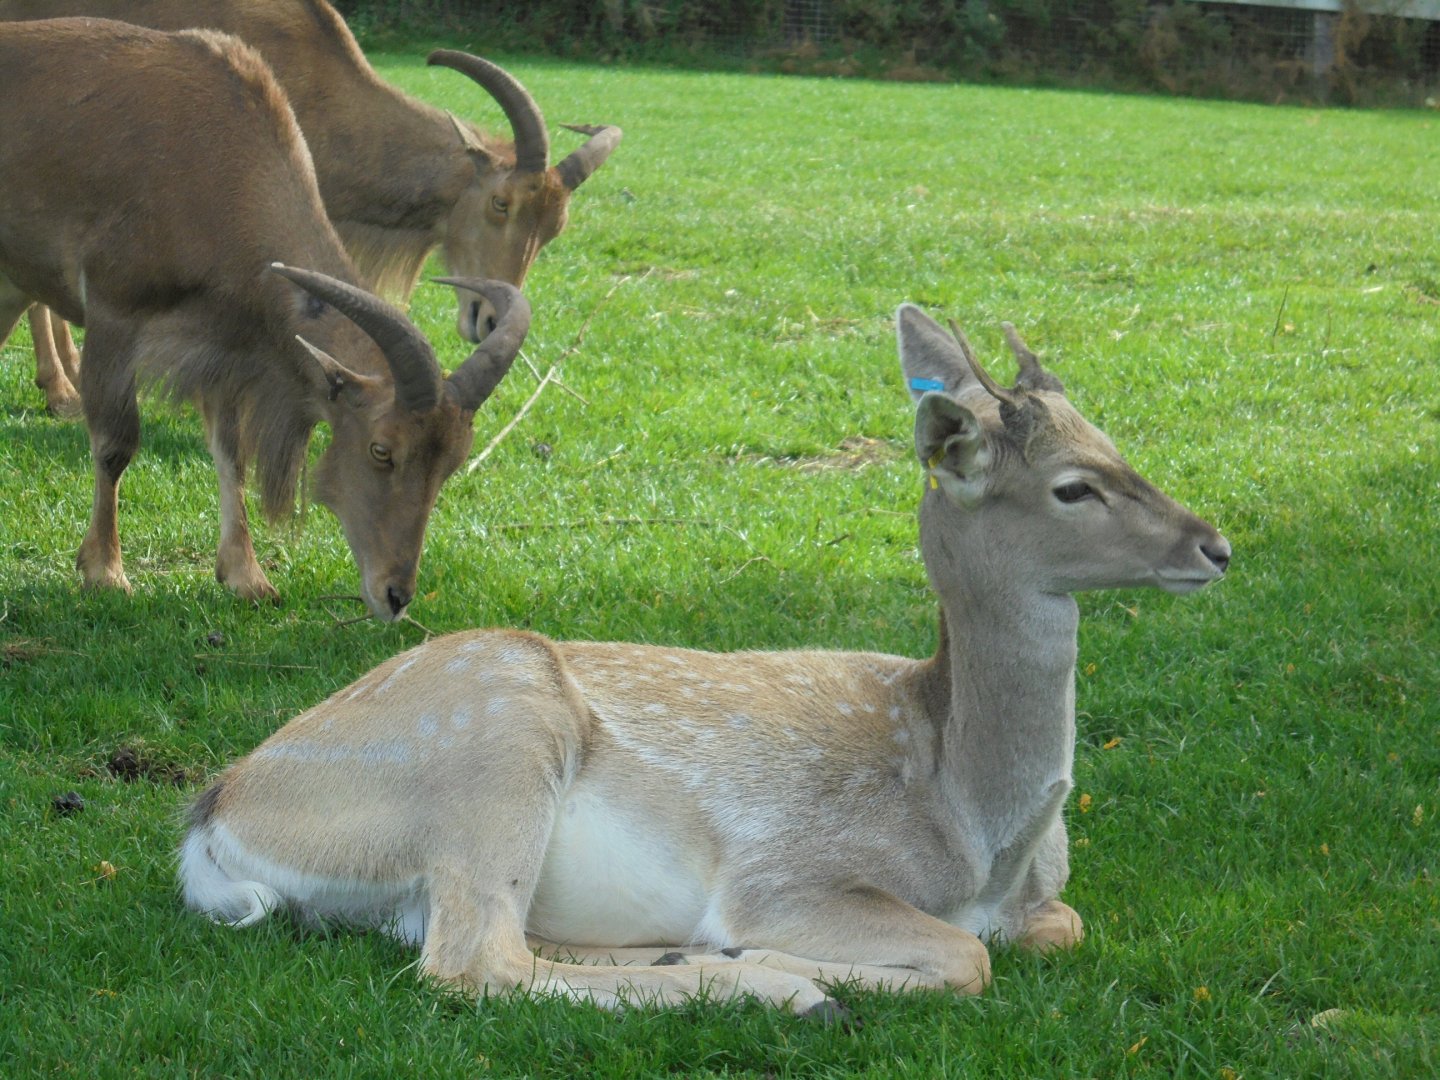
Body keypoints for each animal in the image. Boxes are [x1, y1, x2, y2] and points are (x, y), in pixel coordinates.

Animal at [0, 18, 530, 620]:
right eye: (381, 449)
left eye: (451, 464)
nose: (395, 595)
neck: (206, 161)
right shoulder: (115, 314)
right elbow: (116, 443)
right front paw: (105, 572)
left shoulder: (222, 347)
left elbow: (231, 453)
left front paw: (246, 576)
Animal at [178, 303, 1232, 1015]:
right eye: (1074, 487)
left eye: (1114, 440)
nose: (1215, 546)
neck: (979, 831)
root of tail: (211, 816)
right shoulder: (791, 876)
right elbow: (964, 959)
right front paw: (784, 966)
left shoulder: (1040, 906)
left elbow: (1063, 927)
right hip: (491, 744)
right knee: (474, 962)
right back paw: (778, 989)